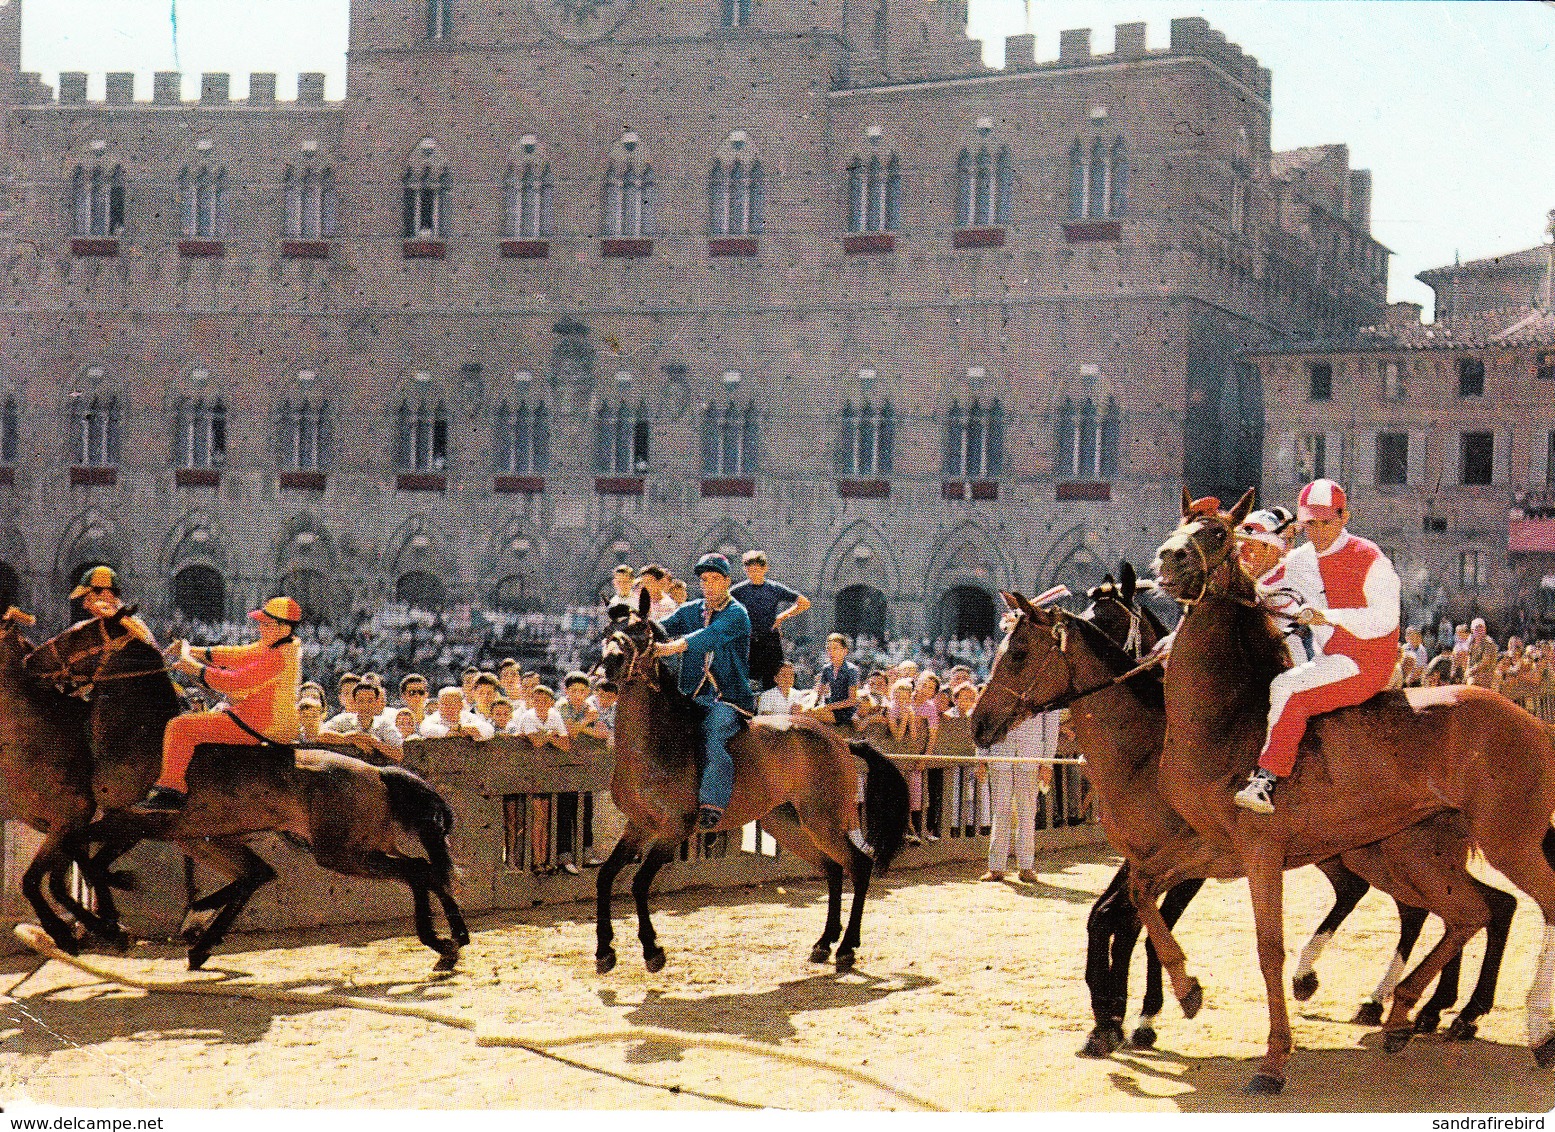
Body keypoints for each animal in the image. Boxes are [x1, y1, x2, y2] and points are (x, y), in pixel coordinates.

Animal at [28, 609, 466, 970]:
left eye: (80, 632)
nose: (31, 660)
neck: (142, 736)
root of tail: (376, 772)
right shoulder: (138, 825)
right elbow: (85, 861)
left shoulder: (132, 820)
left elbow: (79, 858)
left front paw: (106, 917)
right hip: (364, 844)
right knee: (425, 869)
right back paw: (453, 940)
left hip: (342, 853)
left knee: (416, 871)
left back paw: (442, 942)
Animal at [594, 593, 908, 970]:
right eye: (607, 631)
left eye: (641, 631)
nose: (608, 669)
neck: (658, 740)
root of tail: (839, 741)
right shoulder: (638, 826)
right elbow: (605, 876)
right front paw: (604, 950)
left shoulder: (673, 829)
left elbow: (639, 883)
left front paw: (652, 949)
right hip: (788, 823)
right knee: (833, 869)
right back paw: (824, 943)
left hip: (824, 821)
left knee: (859, 867)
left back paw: (846, 948)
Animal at [1150, 491, 1555, 1094]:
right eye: (1181, 525)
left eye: (1218, 534)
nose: (1167, 558)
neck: (1229, 719)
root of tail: (1532, 723)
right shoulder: (1213, 846)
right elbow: (1140, 893)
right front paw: (1187, 988)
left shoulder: (1260, 851)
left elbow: (1269, 949)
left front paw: (1274, 1060)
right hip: (1421, 850)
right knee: (1473, 911)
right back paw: (1407, 1011)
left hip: (1509, 839)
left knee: (1523, 904)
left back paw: (1534, 1027)